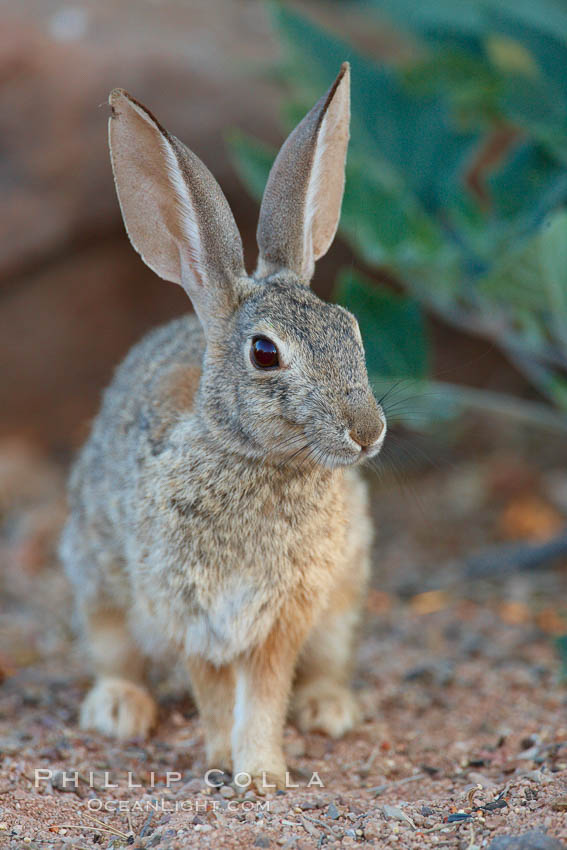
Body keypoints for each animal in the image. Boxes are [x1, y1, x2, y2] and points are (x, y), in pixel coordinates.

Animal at [60, 63, 388, 792]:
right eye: (265, 353)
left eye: (352, 328)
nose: (367, 431)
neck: (251, 458)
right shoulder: (187, 611)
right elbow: (213, 690)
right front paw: (220, 761)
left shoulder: (287, 611)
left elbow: (264, 692)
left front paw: (262, 773)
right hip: (97, 583)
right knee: (115, 654)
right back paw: (118, 709)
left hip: (344, 595)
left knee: (328, 660)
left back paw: (329, 708)